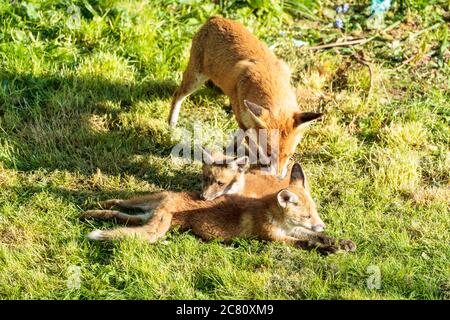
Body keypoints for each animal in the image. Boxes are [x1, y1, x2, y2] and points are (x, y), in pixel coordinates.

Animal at [81, 164, 356, 254]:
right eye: (307, 215)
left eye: (315, 213)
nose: (322, 222)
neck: (275, 218)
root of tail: (165, 205)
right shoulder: (274, 238)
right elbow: (307, 243)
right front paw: (329, 249)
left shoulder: (291, 230)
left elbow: (316, 236)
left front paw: (339, 241)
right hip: (155, 223)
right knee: (123, 210)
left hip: (144, 215)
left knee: (119, 211)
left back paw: (94, 210)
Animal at [167, 16, 322, 178]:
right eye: (269, 153)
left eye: (289, 155)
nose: (279, 178)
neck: (269, 79)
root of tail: (215, 18)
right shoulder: (243, 119)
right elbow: (252, 147)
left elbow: (240, 138)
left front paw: (231, 150)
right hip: (195, 78)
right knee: (177, 95)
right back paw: (171, 123)